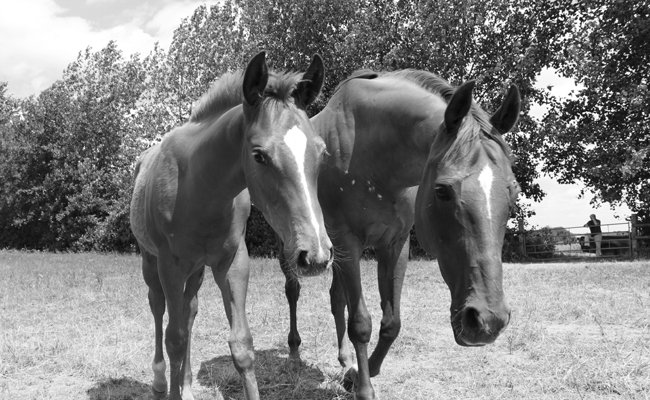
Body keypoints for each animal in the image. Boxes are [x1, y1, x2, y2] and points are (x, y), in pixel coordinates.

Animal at [129, 51, 333, 400]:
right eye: (259, 155)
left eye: (321, 152)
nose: (316, 256)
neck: (201, 188)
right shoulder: (171, 265)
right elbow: (174, 337)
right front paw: (169, 385)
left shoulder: (233, 262)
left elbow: (241, 345)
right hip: (150, 259)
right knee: (158, 308)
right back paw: (160, 381)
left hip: (197, 269)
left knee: (190, 309)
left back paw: (185, 384)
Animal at [278, 69, 520, 400]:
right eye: (442, 191)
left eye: (513, 192)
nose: (487, 322)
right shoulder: (348, 242)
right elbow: (360, 323)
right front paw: (364, 388)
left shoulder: (395, 244)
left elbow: (391, 322)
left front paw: (356, 373)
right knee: (293, 291)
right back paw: (293, 352)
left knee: (335, 298)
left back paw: (344, 359)